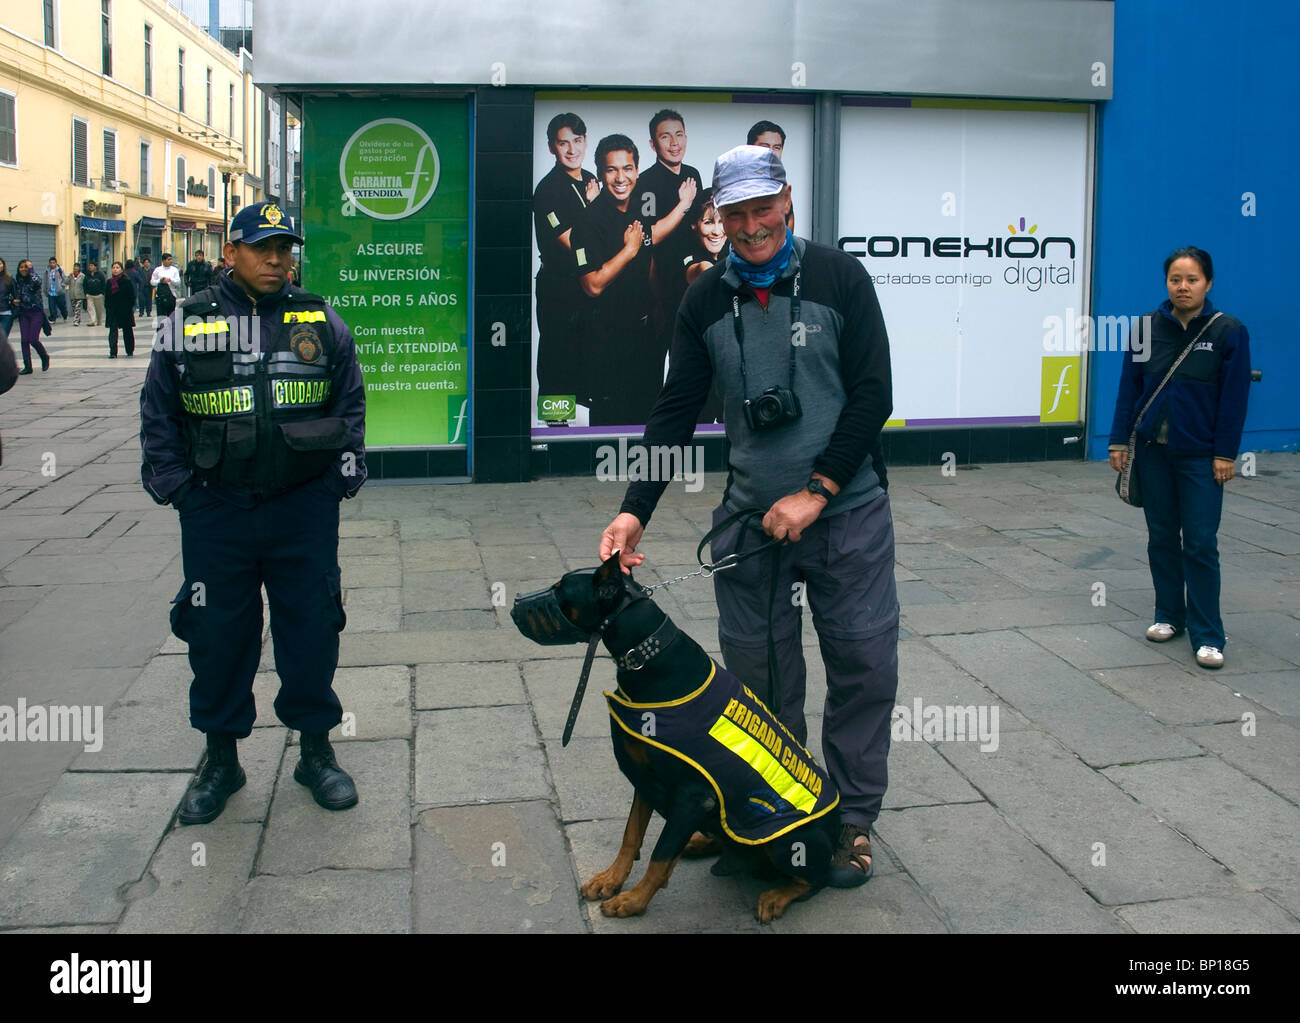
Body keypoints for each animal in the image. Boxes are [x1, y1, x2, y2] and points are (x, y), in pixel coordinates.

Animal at [512, 556, 847, 925]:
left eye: (560, 591)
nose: (513, 604)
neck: (646, 656)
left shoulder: (694, 796)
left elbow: (659, 856)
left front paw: (633, 901)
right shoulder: (645, 778)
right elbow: (631, 835)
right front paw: (610, 881)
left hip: (791, 843)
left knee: (814, 880)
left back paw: (776, 896)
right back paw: (700, 843)